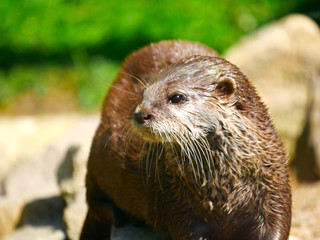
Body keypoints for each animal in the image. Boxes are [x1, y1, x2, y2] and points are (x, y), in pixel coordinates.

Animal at [79, 40, 290, 239]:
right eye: (143, 94)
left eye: (177, 97)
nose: (140, 114)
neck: (222, 190)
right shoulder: (174, 198)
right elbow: (183, 229)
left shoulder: (273, 187)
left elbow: (278, 225)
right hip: (98, 154)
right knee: (94, 199)